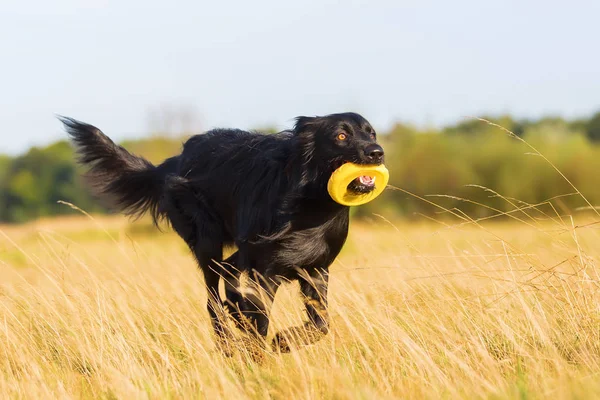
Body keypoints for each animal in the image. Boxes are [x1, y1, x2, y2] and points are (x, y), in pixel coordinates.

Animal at [59, 112, 384, 354]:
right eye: (340, 136)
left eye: (371, 133)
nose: (377, 153)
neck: (312, 204)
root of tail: (174, 162)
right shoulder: (265, 271)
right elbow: (261, 323)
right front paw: (259, 353)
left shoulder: (316, 271)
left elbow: (321, 326)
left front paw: (283, 341)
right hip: (208, 242)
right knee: (213, 295)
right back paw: (227, 338)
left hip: (239, 248)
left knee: (228, 273)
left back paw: (236, 314)